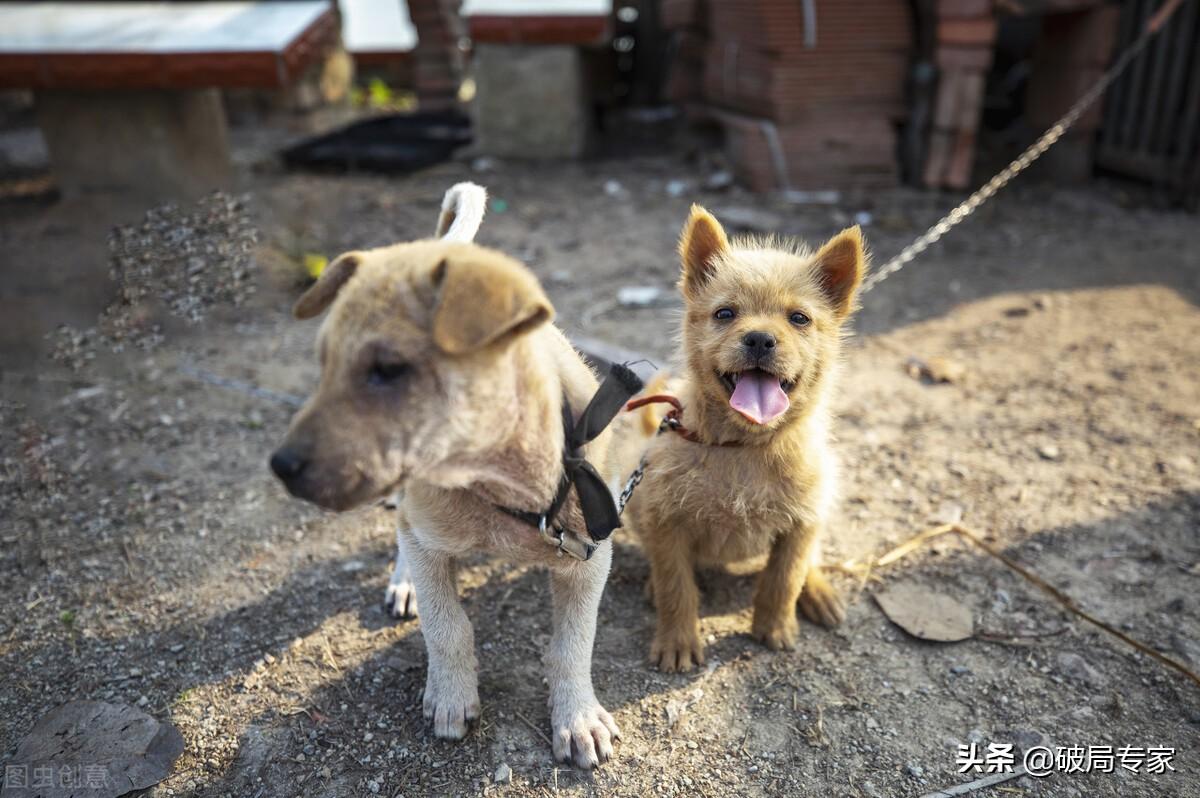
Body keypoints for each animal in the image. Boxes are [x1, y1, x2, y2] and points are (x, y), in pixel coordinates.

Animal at [273, 182, 624, 768]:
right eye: (323, 366)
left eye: (389, 369)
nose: (279, 467)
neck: (496, 484)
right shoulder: (428, 539)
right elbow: (447, 627)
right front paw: (451, 698)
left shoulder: (589, 559)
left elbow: (573, 643)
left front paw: (577, 718)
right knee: (402, 533)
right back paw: (403, 583)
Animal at [619, 206, 864, 672]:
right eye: (725, 314)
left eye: (799, 318)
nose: (760, 339)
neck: (743, 447)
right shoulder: (664, 520)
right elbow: (676, 586)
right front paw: (678, 640)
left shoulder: (802, 522)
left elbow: (784, 577)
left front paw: (775, 626)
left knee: (809, 560)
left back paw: (818, 591)